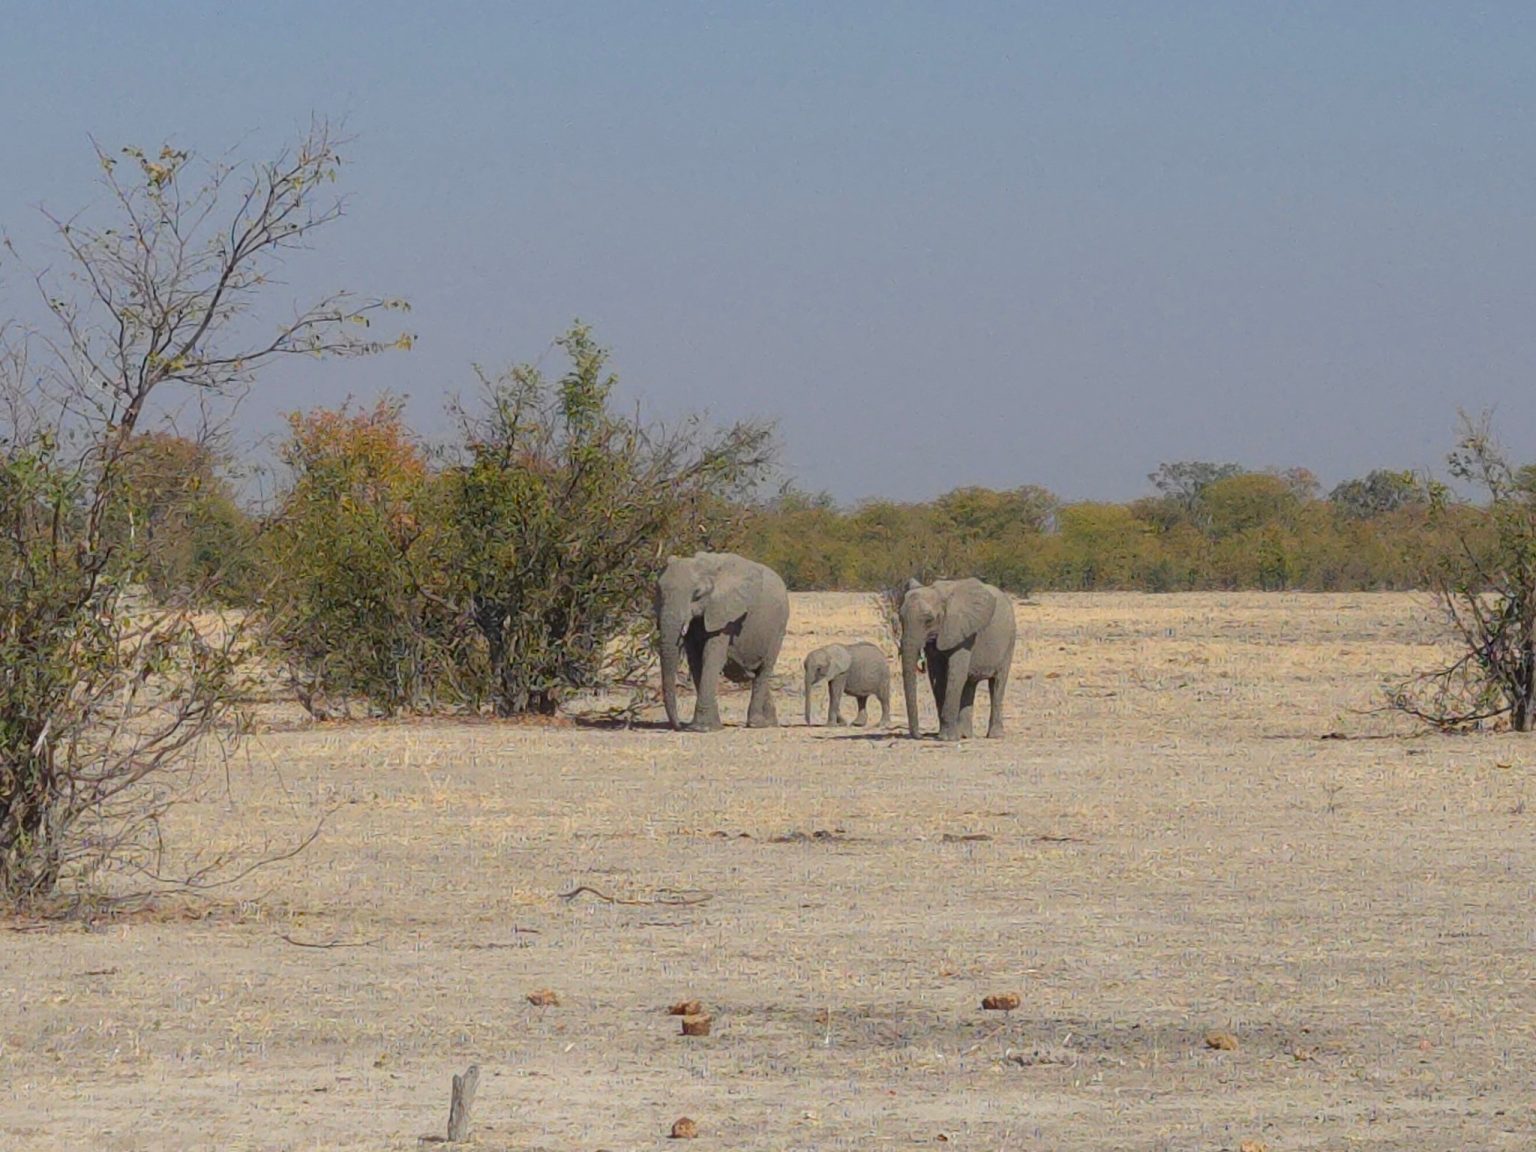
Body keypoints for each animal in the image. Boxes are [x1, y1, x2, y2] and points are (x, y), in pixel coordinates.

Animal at [654, 552, 790, 732]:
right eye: (658, 590)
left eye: (697, 594)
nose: (679, 726)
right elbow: (696, 660)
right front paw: (709, 726)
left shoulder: (725, 614)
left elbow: (711, 657)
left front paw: (702, 729)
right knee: (748, 672)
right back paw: (770, 723)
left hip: (778, 628)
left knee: (764, 669)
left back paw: (756, 724)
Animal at [898, 577, 1017, 741]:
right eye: (900, 618)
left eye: (929, 620)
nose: (921, 736)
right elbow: (937, 677)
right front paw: (945, 735)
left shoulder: (963, 632)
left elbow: (955, 674)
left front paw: (946, 738)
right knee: (969, 684)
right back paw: (965, 735)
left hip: (1009, 641)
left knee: (997, 683)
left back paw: (995, 736)